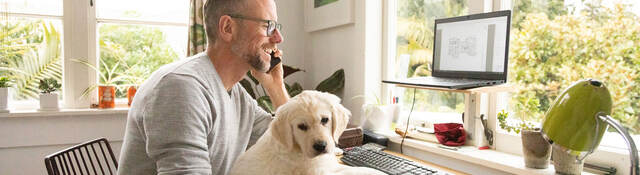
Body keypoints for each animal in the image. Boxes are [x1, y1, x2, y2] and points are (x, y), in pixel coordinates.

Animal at [228, 90, 382, 175]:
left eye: (325, 120)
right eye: (301, 126)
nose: (320, 146)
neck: (298, 149)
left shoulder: (328, 166)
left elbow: (358, 168)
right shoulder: (320, 172)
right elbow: (356, 171)